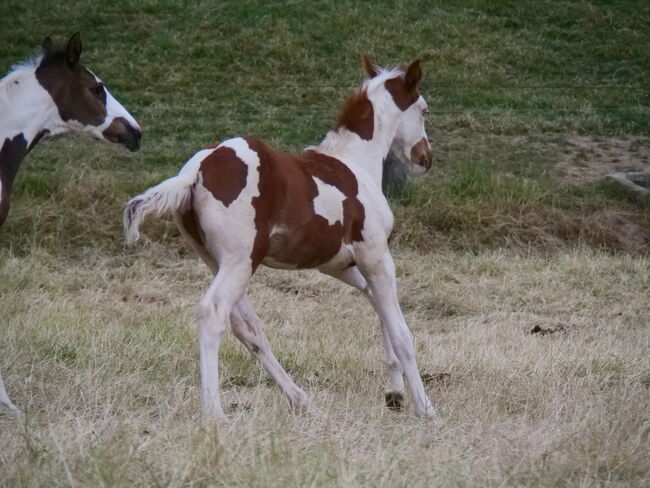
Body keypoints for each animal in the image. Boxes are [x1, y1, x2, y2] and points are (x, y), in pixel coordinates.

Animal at [123, 57, 432, 422]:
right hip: (240, 261)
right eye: (424, 110)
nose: (426, 158)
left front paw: (395, 393)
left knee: (248, 328)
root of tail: (194, 173)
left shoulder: (342, 265)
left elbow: (378, 306)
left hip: (218, 261)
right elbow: (401, 332)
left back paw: (300, 400)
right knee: (213, 313)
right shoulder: (376, 255)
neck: (355, 163)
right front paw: (426, 408)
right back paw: (215, 413)